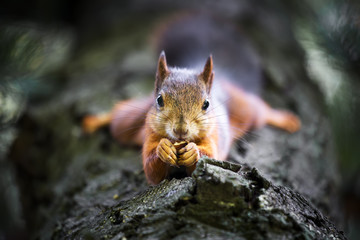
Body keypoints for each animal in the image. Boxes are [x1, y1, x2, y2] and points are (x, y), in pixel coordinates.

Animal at [81, 14, 300, 186]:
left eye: (206, 104)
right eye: (159, 100)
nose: (180, 130)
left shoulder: (215, 136)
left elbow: (212, 157)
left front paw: (193, 151)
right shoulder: (149, 134)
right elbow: (151, 170)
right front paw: (163, 149)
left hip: (245, 108)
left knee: (262, 110)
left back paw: (285, 120)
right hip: (131, 120)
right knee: (119, 116)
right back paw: (95, 121)